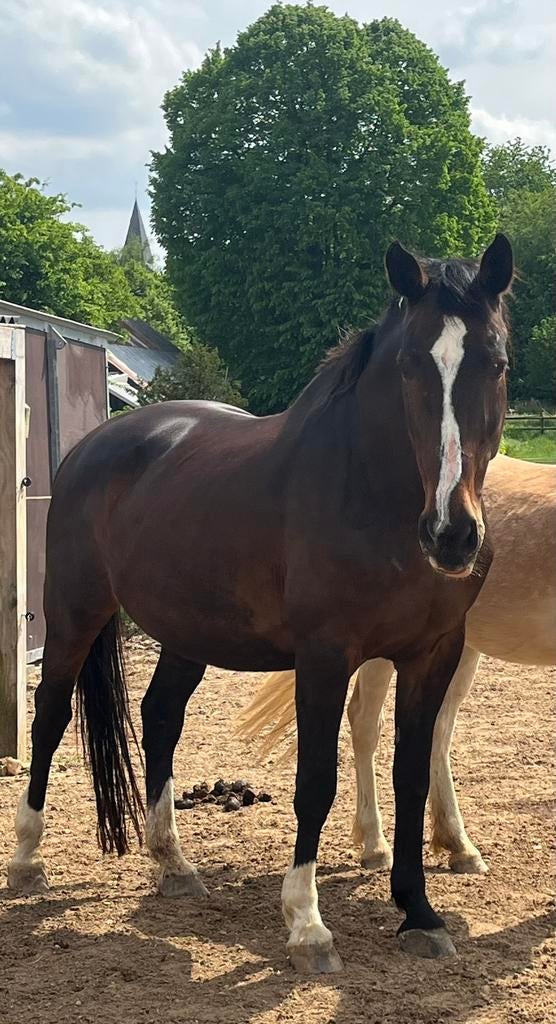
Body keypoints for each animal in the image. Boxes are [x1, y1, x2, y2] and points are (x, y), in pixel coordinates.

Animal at [8, 235, 513, 973]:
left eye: (496, 363)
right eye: (409, 367)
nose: (452, 534)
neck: (372, 496)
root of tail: (94, 446)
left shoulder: (433, 654)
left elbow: (412, 776)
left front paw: (418, 913)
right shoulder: (325, 658)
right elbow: (316, 781)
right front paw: (307, 924)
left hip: (186, 631)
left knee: (160, 717)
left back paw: (172, 862)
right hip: (75, 611)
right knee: (49, 716)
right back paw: (25, 856)